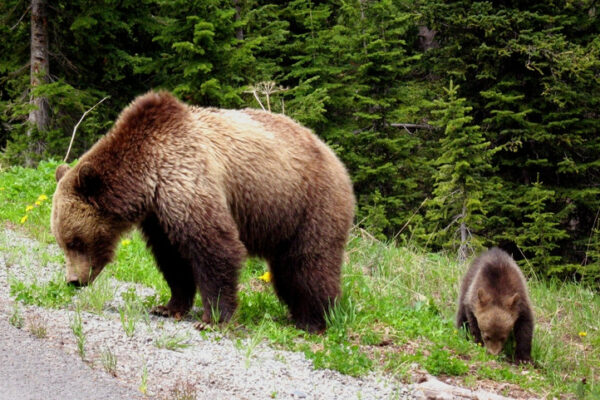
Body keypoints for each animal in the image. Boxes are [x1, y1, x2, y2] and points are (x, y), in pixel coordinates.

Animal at [51, 90, 354, 332]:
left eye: (75, 241)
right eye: (62, 242)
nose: (73, 281)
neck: (147, 178)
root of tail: (335, 157)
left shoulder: (186, 179)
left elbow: (214, 246)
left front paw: (212, 318)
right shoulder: (158, 215)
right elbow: (172, 258)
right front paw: (169, 306)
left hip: (311, 202)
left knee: (309, 262)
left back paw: (315, 320)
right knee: (287, 269)